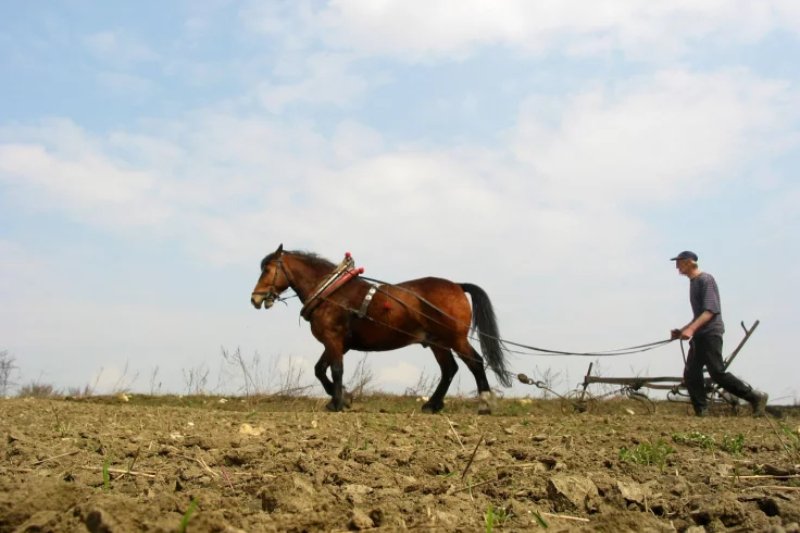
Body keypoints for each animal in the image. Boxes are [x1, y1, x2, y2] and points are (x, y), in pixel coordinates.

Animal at [252, 243, 512, 414]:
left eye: (267, 270)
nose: (255, 298)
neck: (332, 292)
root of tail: (457, 285)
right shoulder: (337, 343)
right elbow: (320, 369)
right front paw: (344, 397)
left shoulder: (334, 339)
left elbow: (335, 369)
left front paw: (337, 402)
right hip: (437, 342)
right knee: (449, 369)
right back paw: (432, 405)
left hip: (455, 339)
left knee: (474, 362)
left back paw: (485, 403)